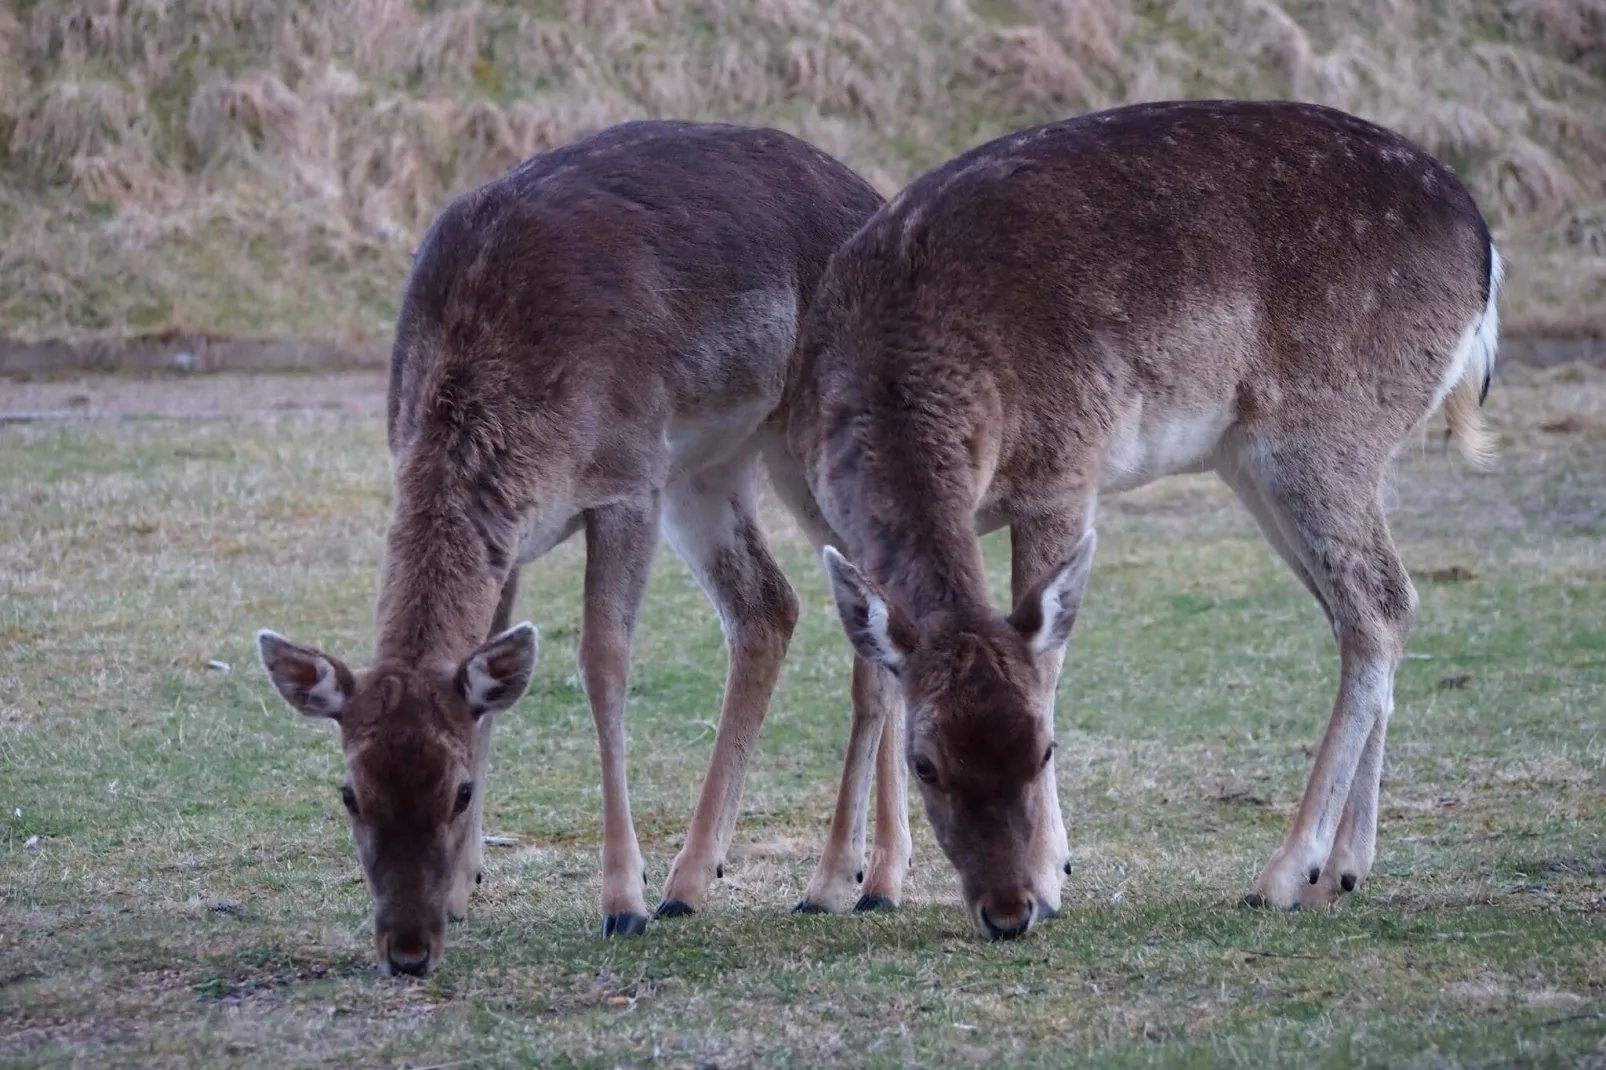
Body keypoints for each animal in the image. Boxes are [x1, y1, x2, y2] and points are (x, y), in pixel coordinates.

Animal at [256, 120, 886, 970]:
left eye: (456, 792)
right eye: (350, 793)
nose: (407, 948)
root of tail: (877, 194)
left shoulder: (626, 480)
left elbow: (602, 663)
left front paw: (621, 902)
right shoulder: (521, 537)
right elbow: (487, 676)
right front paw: (466, 888)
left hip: (806, 439)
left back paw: (846, 880)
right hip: (707, 465)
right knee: (770, 605)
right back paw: (701, 879)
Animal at [767, 98, 1503, 931]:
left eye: (1044, 748)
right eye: (925, 763)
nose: (1008, 912)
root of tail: (1484, 250)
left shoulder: (1062, 472)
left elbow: (1048, 660)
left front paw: (1053, 873)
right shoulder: (835, 522)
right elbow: (877, 680)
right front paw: (830, 884)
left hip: (1325, 432)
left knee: (1377, 606)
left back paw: (1283, 874)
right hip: (1258, 461)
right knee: (1374, 608)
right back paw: (1340, 872)